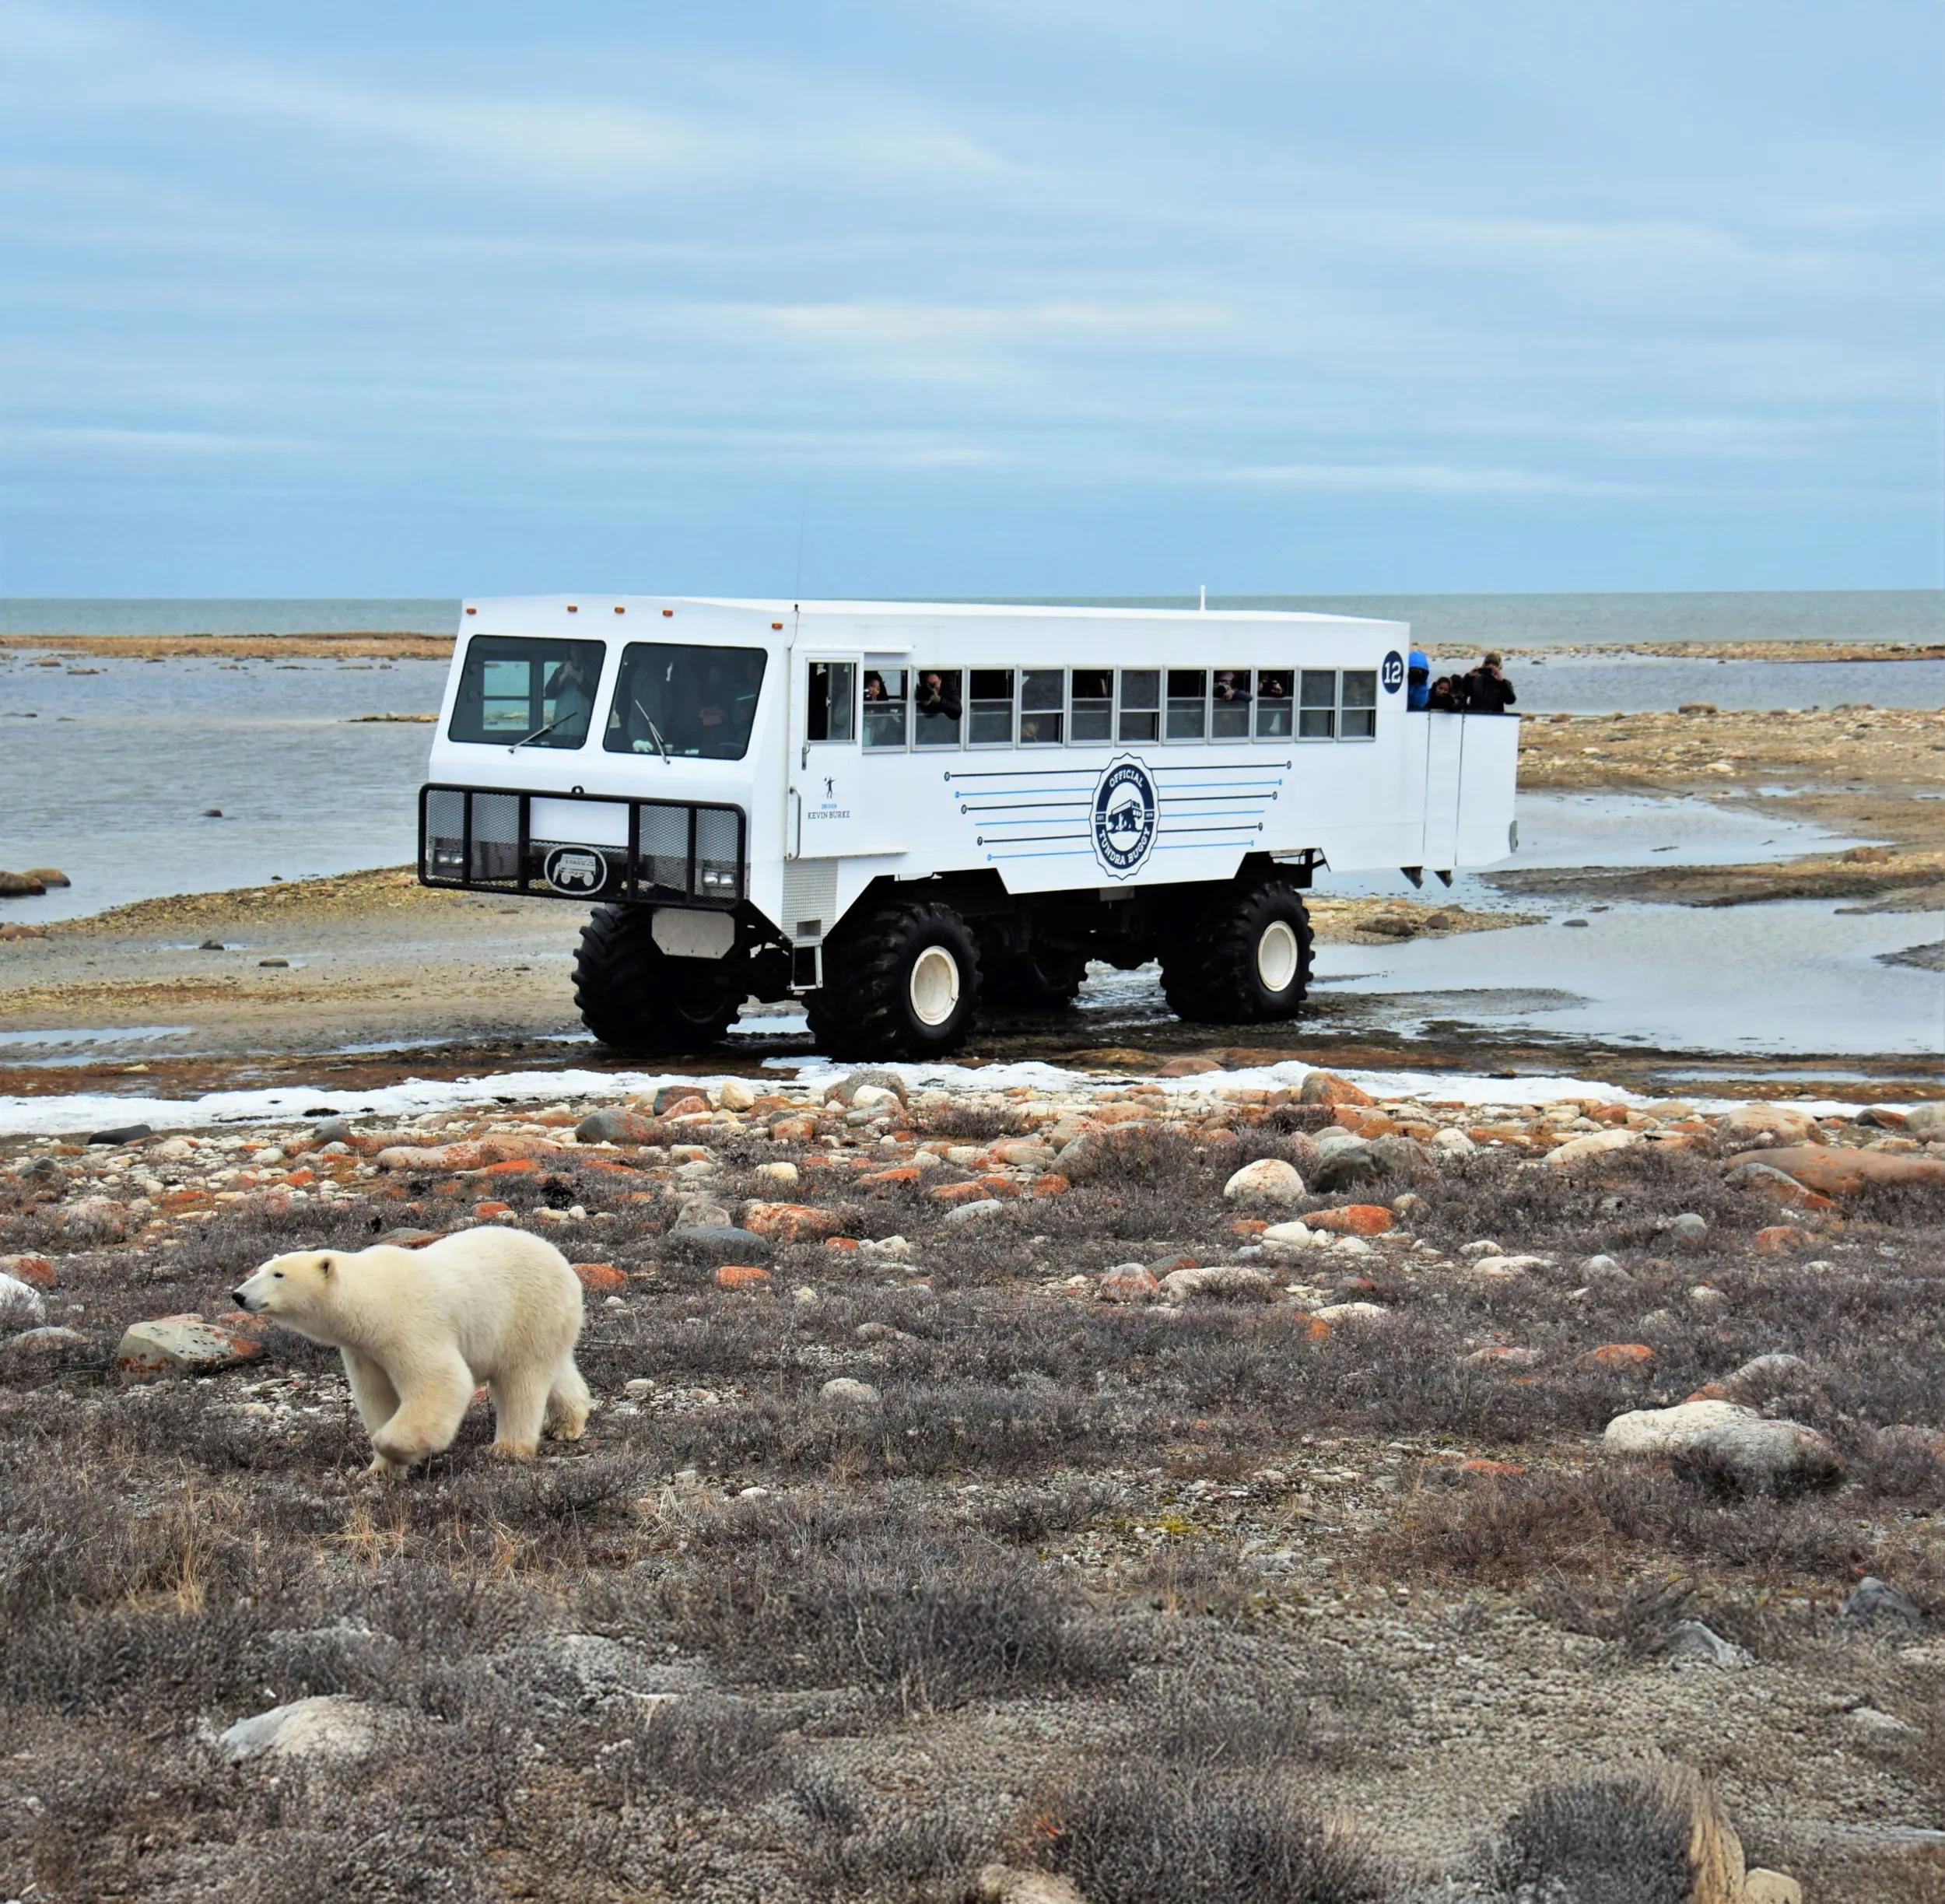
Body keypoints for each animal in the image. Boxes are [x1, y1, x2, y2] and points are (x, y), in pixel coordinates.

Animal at [233, 1228, 592, 1473]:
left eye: (279, 1274)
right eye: (260, 1270)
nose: (238, 1295)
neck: (372, 1299)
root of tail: (562, 1262)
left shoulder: (409, 1327)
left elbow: (442, 1381)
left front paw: (399, 1450)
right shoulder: (363, 1350)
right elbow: (376, 1397)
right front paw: (379, 1470)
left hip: (526, 1314)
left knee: (521, 1382)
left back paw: (509, 1448)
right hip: (547, 1325)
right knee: (556, 1370)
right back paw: (565, 1425)